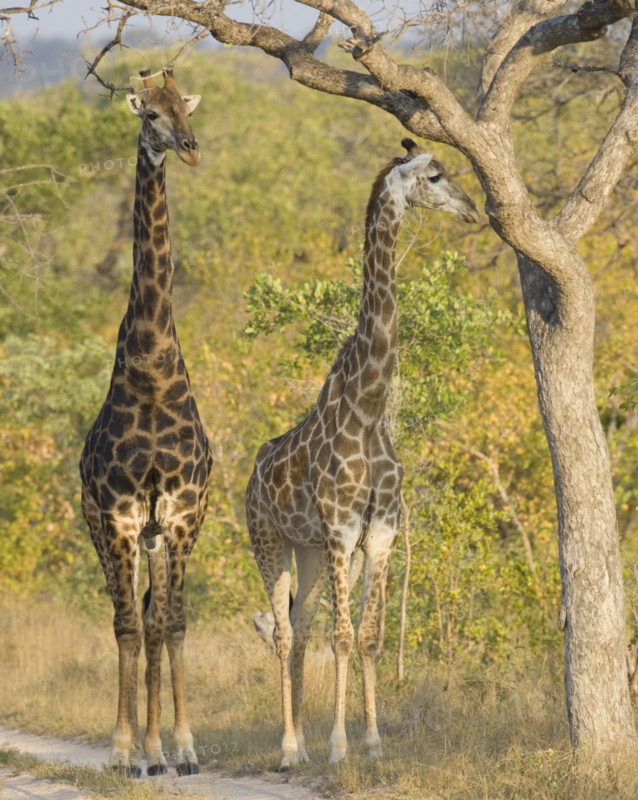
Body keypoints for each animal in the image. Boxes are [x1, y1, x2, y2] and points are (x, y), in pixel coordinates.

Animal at [246, 139, 479, 770]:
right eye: (435, 175)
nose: (474, 211)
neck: (369, 407)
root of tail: (249, 478)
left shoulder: (380, 530)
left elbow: (369, 637)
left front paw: (371, 742)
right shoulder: (341, 528)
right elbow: (344, 636)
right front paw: (339, 747)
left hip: (306, 549)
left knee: (299, 629)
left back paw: (299, 744)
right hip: (269, 541)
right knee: (283, 632)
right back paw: (289, 749)